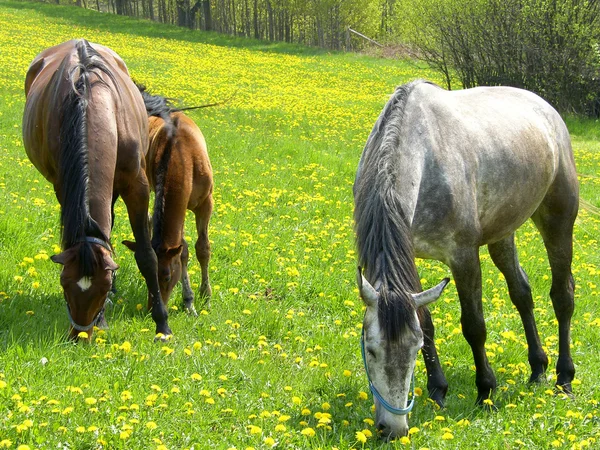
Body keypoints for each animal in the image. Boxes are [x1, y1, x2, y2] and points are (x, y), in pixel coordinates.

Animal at [21, 40, 171, 340]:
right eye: (64, 285)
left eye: (101, 288)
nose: (79, 337)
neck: (90, 103)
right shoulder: (63, 187)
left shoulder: (136, 186)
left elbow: (147, 255)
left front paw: (161, 323)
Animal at [122, 87, 213, 312]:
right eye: (146, 276)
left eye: (166, 277)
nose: (151, 309)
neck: (183, 154)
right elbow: (183, 251)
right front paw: (188, 300)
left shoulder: (206, 203)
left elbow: (202, 248)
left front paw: (205, 295)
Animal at [354, 79, 580, 438]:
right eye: (370, 349)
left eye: (413, 349)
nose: (393, 429)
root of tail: (548, 111)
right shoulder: (411, 255)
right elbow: (427, 321)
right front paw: (438, 390)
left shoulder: (463, 257)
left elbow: (474, 326)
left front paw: (485, 391)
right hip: (502, 234)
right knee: (522, 293)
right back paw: (537, 369)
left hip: (557, 223)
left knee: (562, 297)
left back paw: (564, 378)